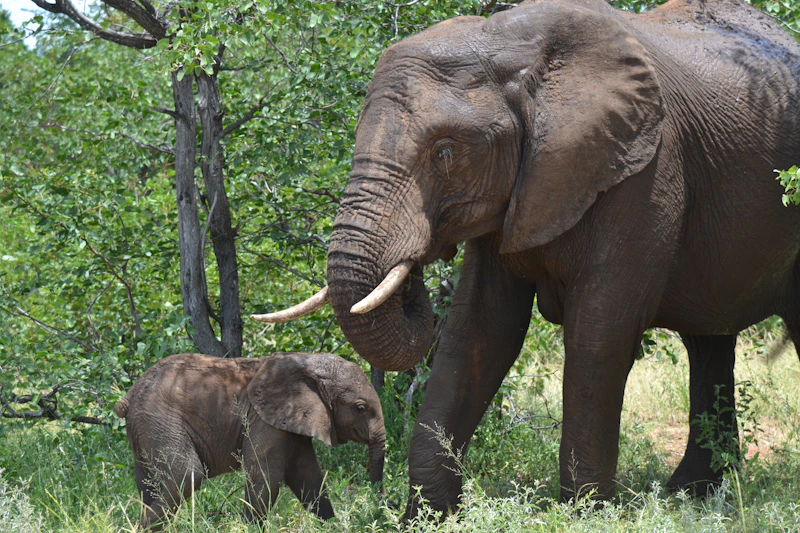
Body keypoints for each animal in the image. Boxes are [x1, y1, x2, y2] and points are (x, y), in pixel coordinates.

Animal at [113, 352, 385, 529]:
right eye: (360, 408)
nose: (382, 507)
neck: (305, 363)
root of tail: (129, 395)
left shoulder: (290, 419)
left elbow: (308, 475)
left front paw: (331, 526)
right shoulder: (263, 418)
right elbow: (266, 474)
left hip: (146, 428)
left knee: (148, 483)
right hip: (160, 421)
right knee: (186, 474)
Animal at [257, 0, 800, 516]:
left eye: (445, 151)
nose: (415, 266)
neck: (507, 44)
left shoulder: (645, 171)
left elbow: (600, 332)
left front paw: (586, 512)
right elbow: (479, 329)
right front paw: (428, 516)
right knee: (708, 340)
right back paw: (690, 493)